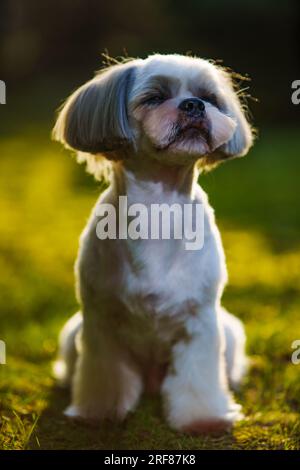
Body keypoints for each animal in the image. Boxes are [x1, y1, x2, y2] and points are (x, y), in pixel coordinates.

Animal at [52, 52, 253, 434]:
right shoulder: (101, 323)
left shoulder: (200, 323)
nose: (194, 105)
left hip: (230, 332)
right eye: (155, 98)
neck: (158, 209)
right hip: (73, 333)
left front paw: (203, 420)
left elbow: (198, 379)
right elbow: (104, 375)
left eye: (209, 97)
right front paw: (98, 413)